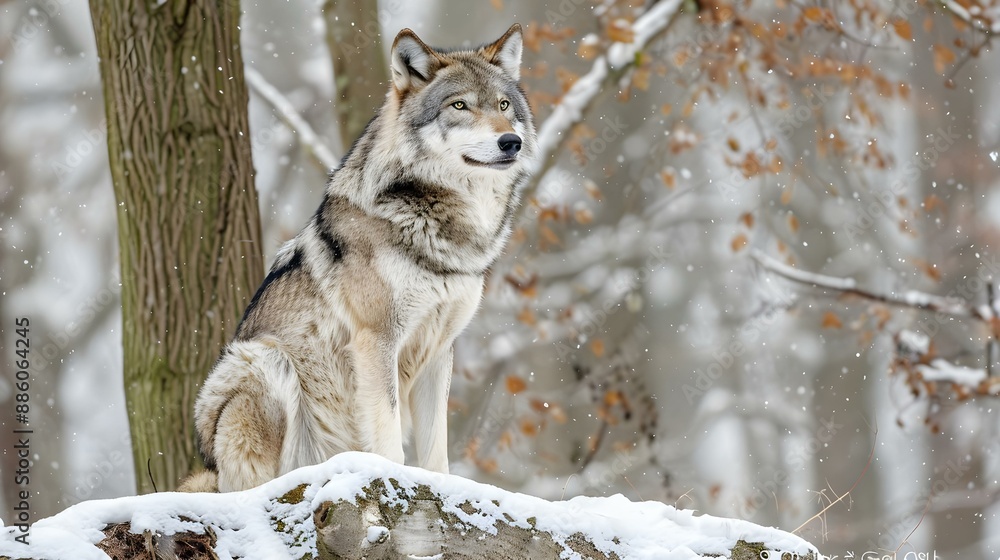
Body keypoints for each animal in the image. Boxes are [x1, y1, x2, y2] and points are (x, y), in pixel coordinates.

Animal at [179, 24, 535, 493]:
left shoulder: (440, 350)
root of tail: (209, 466)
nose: (510, 141)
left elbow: (436, 450)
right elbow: (388, 438)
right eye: (459, 105)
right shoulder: (376, 340)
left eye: (503, 105)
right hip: (262, 362)